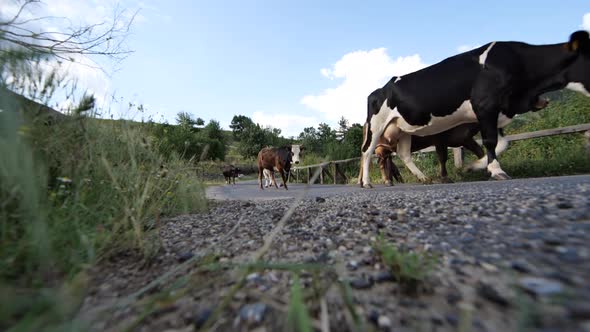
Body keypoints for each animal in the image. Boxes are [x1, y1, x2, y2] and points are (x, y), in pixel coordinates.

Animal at [360, 30, 590, 187]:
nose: (545, 102)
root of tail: (379, 89)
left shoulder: (496, 112)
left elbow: (500, 143)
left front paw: (477, 166)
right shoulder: (485, 105)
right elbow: (490, 142)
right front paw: (496, 170)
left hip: (402, 129)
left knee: (404, 154)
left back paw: (423, 177)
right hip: (377, 126)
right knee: (367, 152)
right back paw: (366, 182)